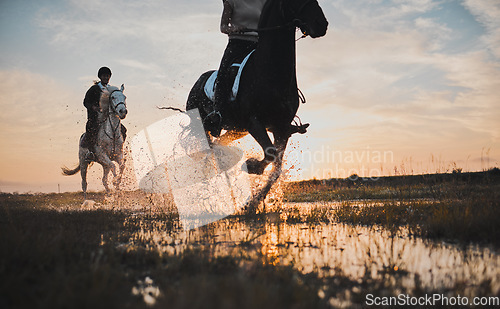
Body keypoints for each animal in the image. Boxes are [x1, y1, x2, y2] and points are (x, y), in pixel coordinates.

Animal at [186, 0, 326, 177]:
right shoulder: (254, 122)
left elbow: (276, 161)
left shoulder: (282, 127)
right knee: (209, 146)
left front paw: (256, 168)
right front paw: (253, 165)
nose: (322, 24)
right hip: (203, 125)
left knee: (218, 143)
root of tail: (198, 82)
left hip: (237, 130)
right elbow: (271, 153)